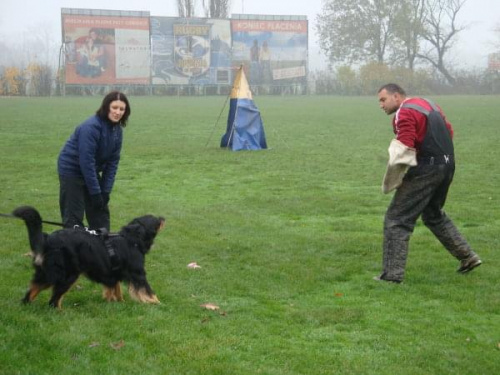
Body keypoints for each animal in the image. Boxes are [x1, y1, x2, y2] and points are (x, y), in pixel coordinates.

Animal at [13, 207, 166, 310]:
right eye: (156, 221)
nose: (163, 217)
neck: (131, 239)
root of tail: (47, 239)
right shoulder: (138, 274)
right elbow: (148, 291)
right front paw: (158, 303)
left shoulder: (112, 273)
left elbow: (116, 289)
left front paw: (118, 302)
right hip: (67, 275)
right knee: (53, 300)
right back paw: (60, 312)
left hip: (46, 273)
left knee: (32, 290)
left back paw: (26, 306)